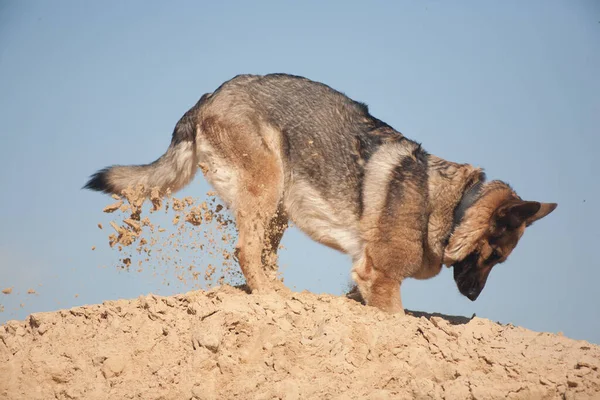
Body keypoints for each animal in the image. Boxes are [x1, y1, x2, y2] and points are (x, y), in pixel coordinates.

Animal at [84, 73, 556, 314]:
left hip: (280, 205)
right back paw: (270, 298)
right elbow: (395, 319)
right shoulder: (381, 278)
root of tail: (209, 97)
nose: (474, 299)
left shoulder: (364, 275)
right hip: (267, 187)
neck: (450, 204)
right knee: (245, 251)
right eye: (495, 257)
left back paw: (286, 294)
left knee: (262, 254)